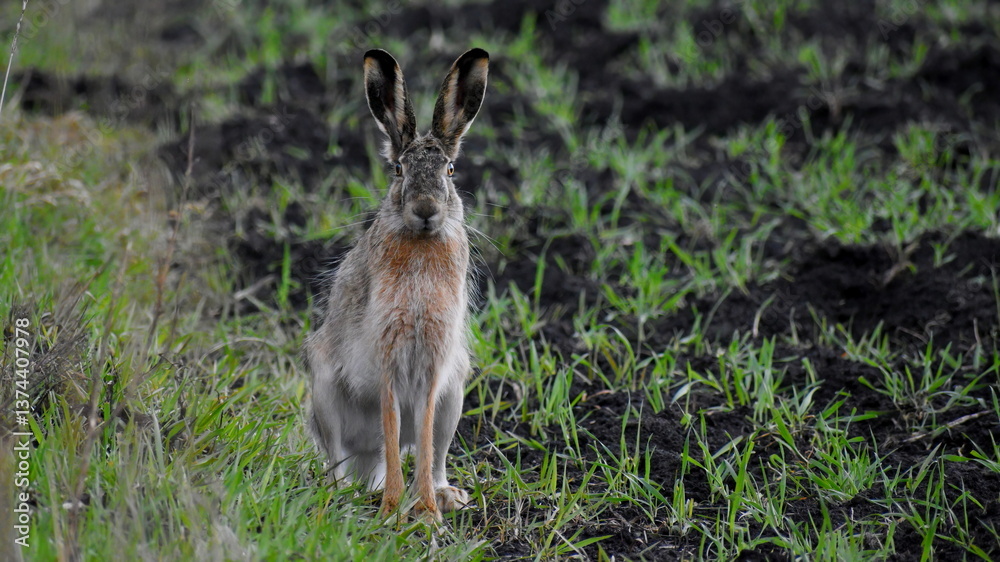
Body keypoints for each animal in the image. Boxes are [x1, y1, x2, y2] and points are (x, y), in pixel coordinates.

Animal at [306, 48, 488, 523]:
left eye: (450, 169)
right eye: (398, 168)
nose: (425, 209)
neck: (421, 241)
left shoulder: (433, 366)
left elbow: (420, 440)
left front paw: (427, 513)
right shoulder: (387, 358)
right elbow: (392, 429)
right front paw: (393, 509)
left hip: (455, 396)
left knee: (435, 453)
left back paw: (446, 495)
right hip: (323, 392)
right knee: (342, 456)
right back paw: (343, 494)